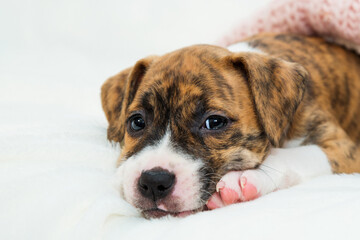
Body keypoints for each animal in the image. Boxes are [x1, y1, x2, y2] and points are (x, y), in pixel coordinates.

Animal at [100, 32, 360, 218]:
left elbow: (297, 155)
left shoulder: (345, 149)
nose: (154, 181)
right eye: (137, 122)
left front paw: (247, 176)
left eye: (214, 122)